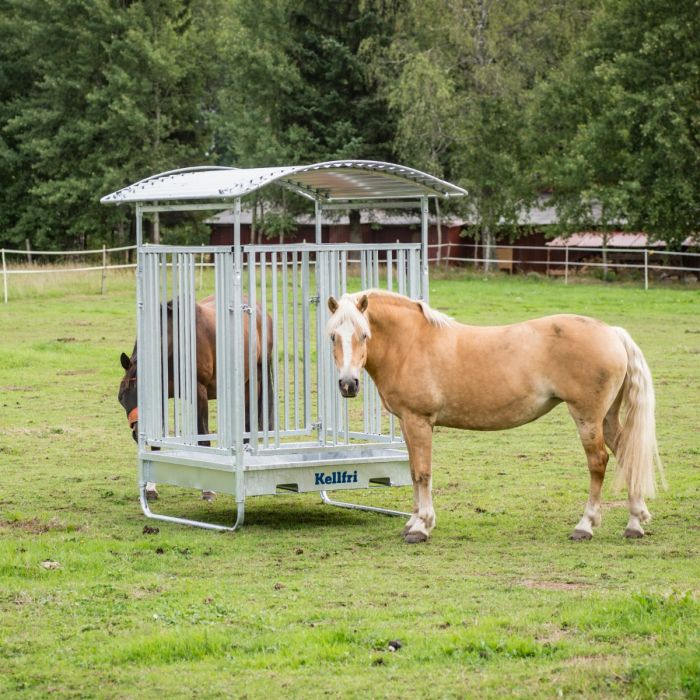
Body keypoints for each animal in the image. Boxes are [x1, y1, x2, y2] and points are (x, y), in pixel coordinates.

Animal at [119, 292, 274, 500]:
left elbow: (203, 437)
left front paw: (208, 489)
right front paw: (151, 488)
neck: (174, 343)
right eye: (122, 398)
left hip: (254, 381)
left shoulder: (199, 393)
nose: (137, 433)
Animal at [326, 288, 664, 544]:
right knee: (626, 453)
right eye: (332, 336)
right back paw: (634, 523)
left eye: (364, 334)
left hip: (587, 417)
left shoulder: (418, 421)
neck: (411, 343)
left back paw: (585, 526)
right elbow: (413, 472)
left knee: (598, 462)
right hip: (606, 418)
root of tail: (613, 333)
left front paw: (421, 527)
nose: (347, 384)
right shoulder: (407, 423)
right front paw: (413, 522)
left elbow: (422, 473)